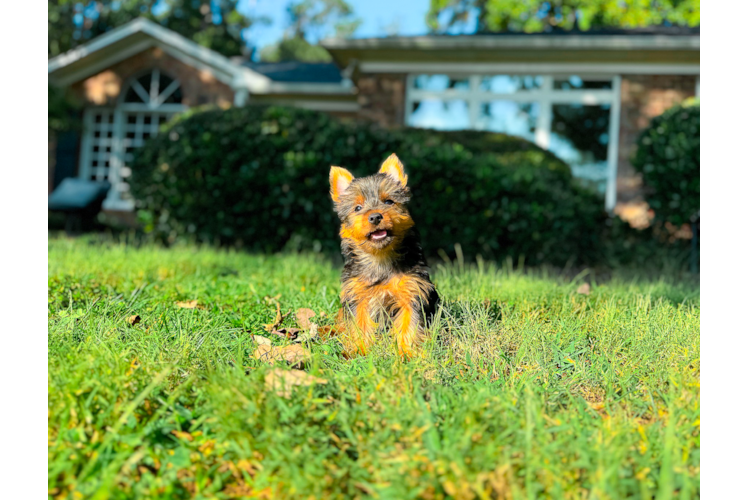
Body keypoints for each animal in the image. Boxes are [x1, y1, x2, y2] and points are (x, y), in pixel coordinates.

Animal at [328, 154, 438, 358]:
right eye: (357, 208)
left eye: (388, 202)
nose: (375, 217)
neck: (379, 257)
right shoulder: (357, 295)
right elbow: (359, 323)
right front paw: (360, 349)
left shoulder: (412, 290)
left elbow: (409, 323)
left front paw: (407, 352)